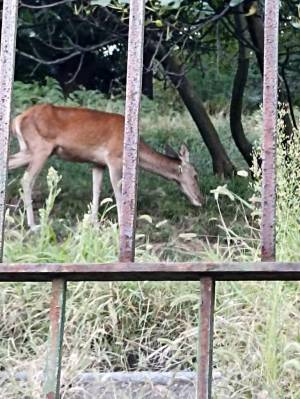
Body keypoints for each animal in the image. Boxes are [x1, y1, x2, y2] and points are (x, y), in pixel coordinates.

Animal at [8, 104, 204, 228]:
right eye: (195, 175)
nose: (201, 199)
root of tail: (17, 120)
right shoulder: (114, 158)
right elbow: (119, 193)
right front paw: (122, 224)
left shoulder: (98, 163)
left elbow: (96, 190)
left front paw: (94, 223)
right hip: (40, 148)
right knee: (26, 180)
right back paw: (33, 224)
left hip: (29, 150)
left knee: (9, 164)